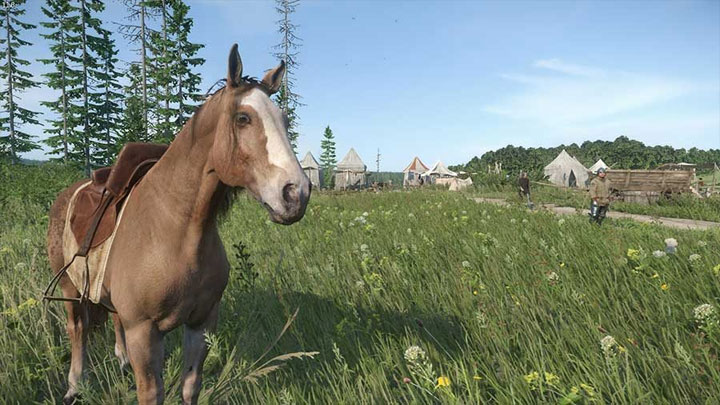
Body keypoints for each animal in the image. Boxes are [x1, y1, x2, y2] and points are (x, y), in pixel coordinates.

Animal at [46, 44, 311, 404]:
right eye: (243, 118)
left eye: (283, 120)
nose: (296, 193)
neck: (176, 230)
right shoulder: (144, 331)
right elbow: (151, 393)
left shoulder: (202, 322)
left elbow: (190, 385)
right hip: (70, 289)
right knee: (78, 330)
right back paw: (75, 385)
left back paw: (120, 361)